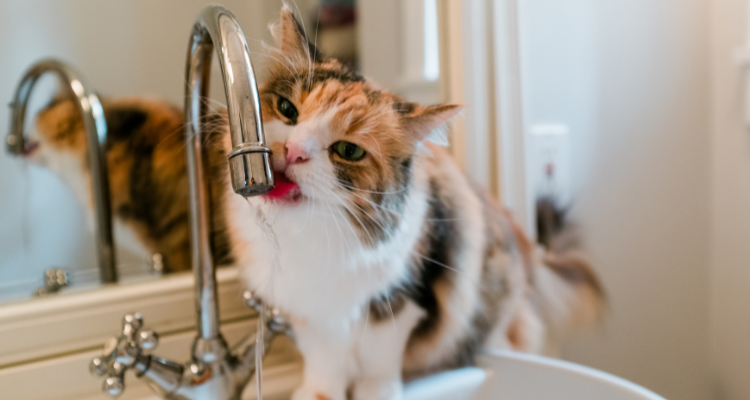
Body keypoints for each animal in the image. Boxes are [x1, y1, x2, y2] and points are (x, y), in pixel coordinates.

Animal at [217, 7, 604, 400]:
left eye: (348, 151)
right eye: (287, 110)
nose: (294, 151)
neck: (308, 237)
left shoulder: (403, 297)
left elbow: (379, 356)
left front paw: (376, 391)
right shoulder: (307, 311)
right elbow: (324, 363)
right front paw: (317, 393)